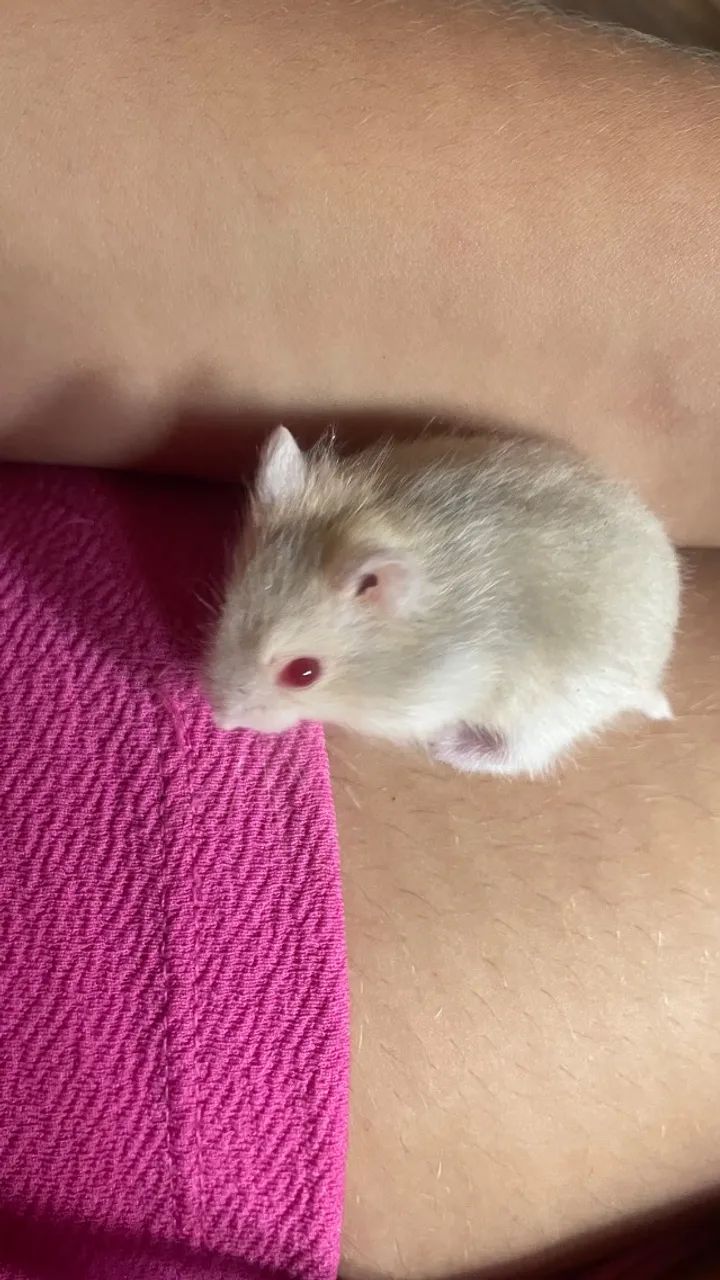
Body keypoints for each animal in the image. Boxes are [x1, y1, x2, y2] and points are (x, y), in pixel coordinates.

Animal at [204, 426, 680, 776]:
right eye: (227, 609)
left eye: (303, 673)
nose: (219, 718)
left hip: (548, 713)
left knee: (520, 756)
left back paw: (450, 746)